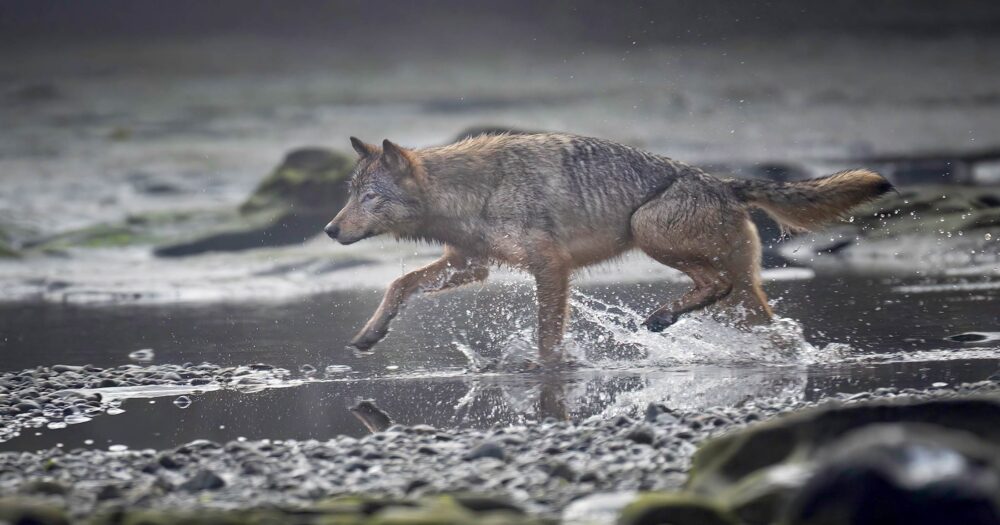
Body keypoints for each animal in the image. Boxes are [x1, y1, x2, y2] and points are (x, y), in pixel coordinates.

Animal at [325, 133, 890, 362]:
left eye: (369, 198)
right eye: (350, 194)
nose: (329, 230)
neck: (473, 192)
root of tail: (726, 183)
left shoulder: (550, 266)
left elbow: (547, 334)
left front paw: (548, 370)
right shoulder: (471, 265)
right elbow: (398, 284)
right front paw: (370, 334)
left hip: (649, 231)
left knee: (714, 284)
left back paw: (662, 317)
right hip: (742, 298)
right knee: (765, 326)